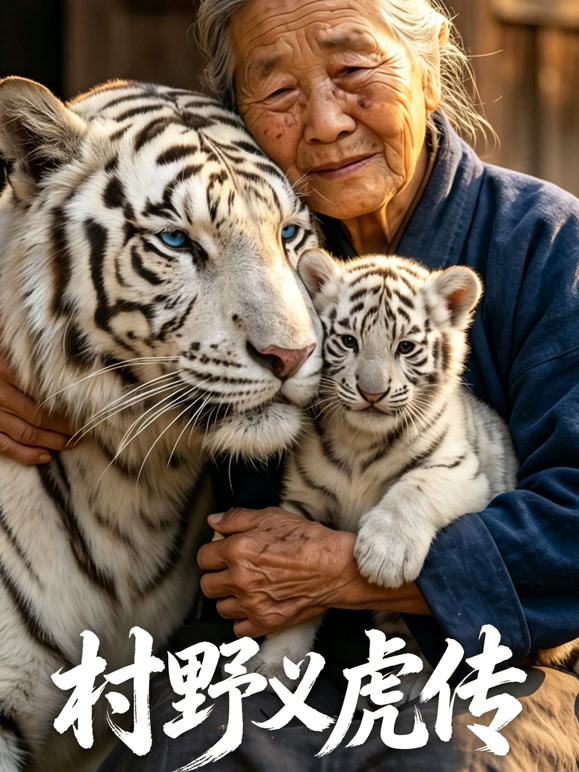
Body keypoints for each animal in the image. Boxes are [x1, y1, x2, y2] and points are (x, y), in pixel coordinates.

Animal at [248, 248, 578, 693]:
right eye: (348, 341)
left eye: (405, 347)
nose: (372, 392)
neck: (360, 440)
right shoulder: (305, 501)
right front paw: (273, 663)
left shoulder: (462, 472)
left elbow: (414, 487)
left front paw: (385, 554)